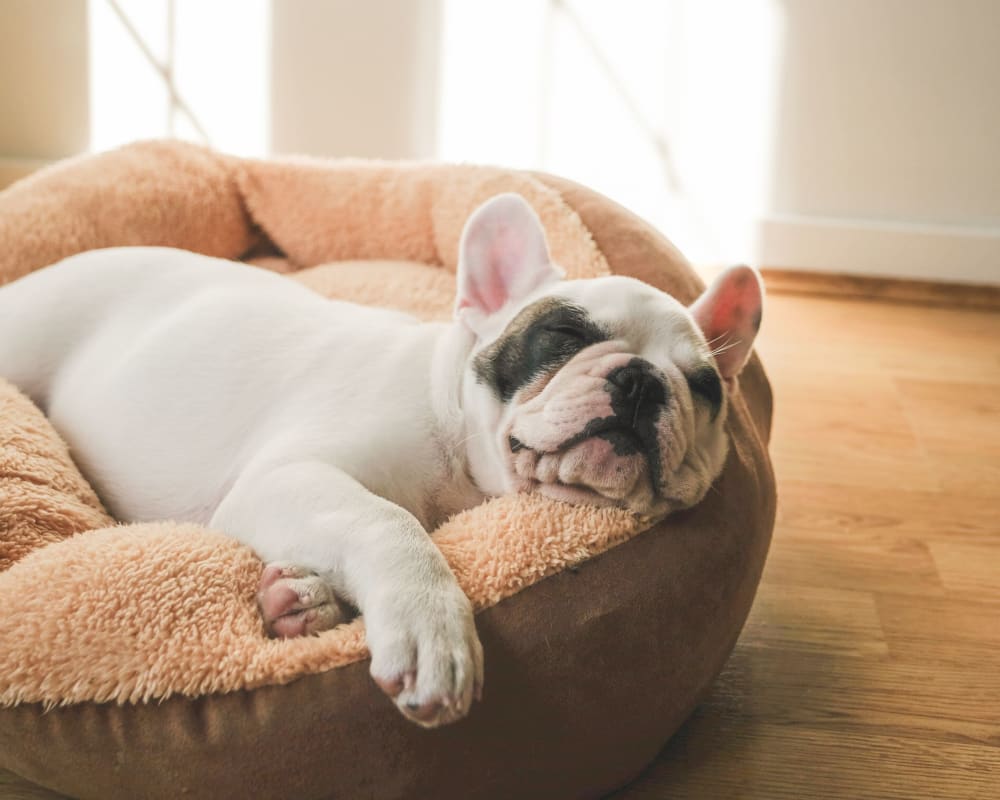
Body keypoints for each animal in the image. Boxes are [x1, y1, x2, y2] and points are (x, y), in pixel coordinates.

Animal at [0, 192, 760, 724]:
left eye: (704, 387)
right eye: (563, 337)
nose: (642, 381)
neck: (457, 445)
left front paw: (303, 600)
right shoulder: (293, 478)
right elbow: (389, 523)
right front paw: (431, 630)